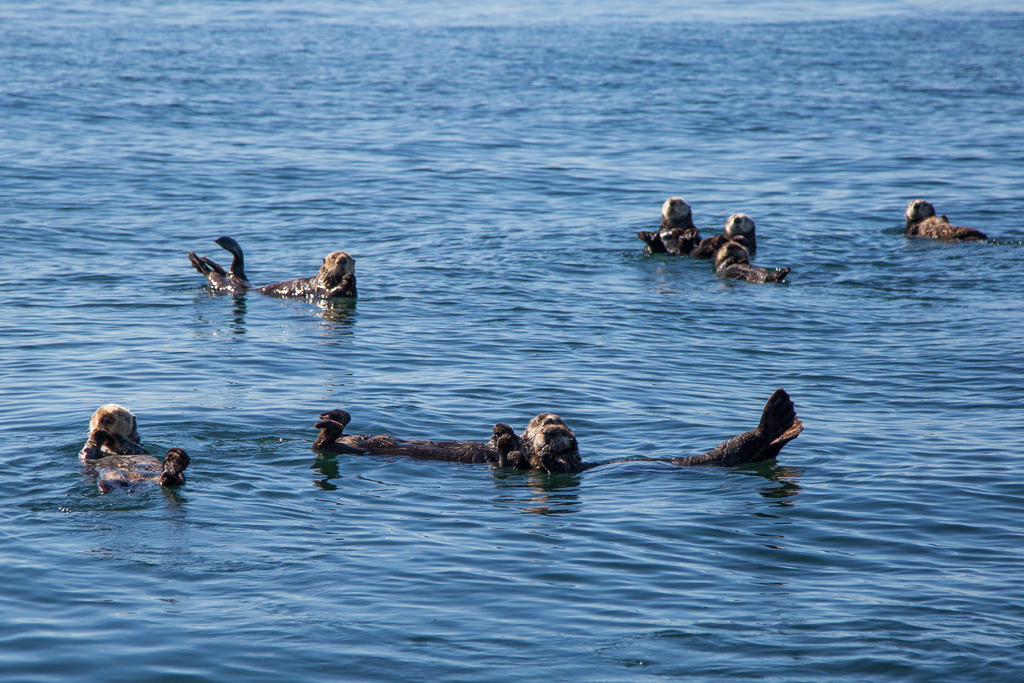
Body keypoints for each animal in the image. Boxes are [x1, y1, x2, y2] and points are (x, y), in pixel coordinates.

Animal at [188, 238, 357, 299]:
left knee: (222, 271)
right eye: (333, 257)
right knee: (215, 274)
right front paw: (347, 279)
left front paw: (350, 278)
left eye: (348, 259)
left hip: (232, 281)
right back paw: (198, 259)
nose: (342, 260)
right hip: (227, 284)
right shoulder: (321, 289)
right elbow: (329, 293)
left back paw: (202, 261)